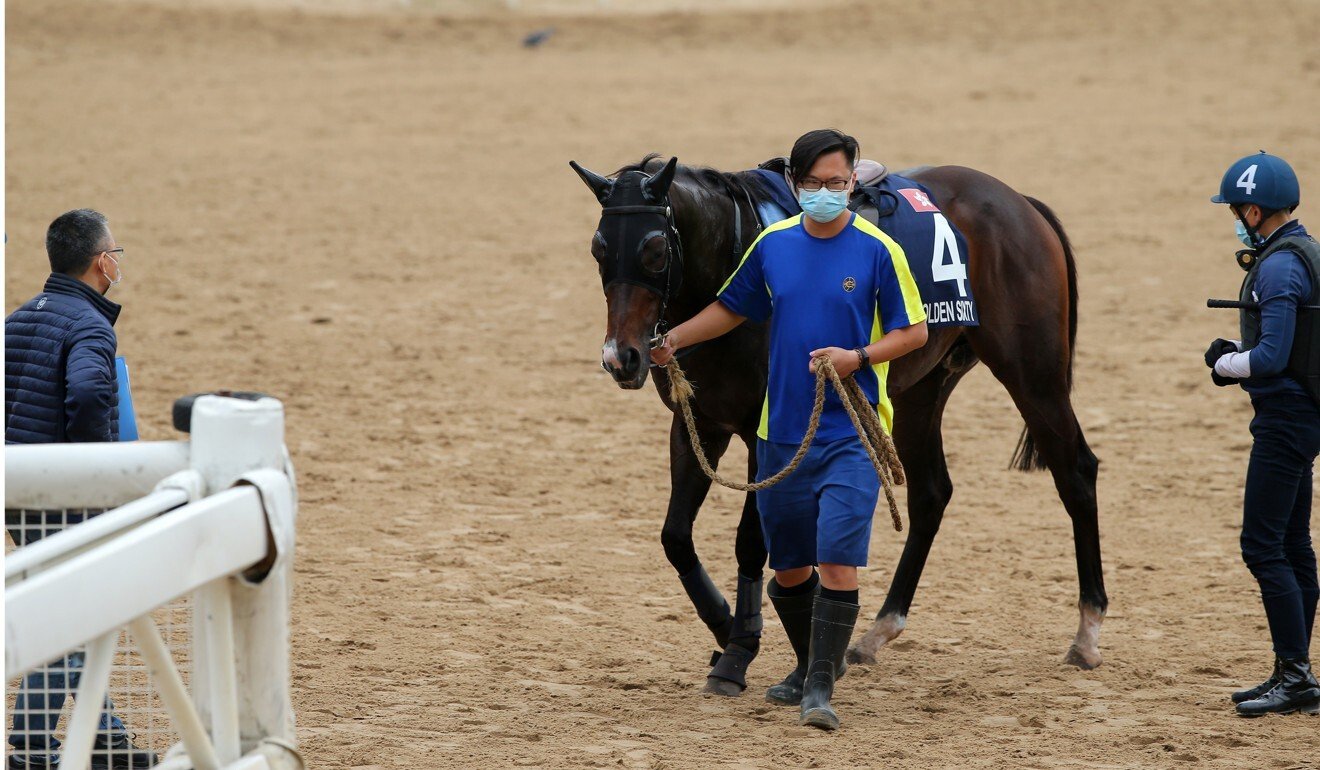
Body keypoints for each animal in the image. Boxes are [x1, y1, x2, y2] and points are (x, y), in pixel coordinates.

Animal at [572, 151, 1108, 697]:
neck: (733, 260)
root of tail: (1021, 203)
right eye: (598, 248)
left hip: (1033, 375)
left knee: (1075, 472)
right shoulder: (698, 424)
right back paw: (877, 632)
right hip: (922, 389)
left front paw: (739, 647)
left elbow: (750, 543)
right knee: (931, 493)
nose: (621, 357)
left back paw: (1087, 633)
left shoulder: (764, 438)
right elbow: (676, 538)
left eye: (655, 249)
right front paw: (725, 626)